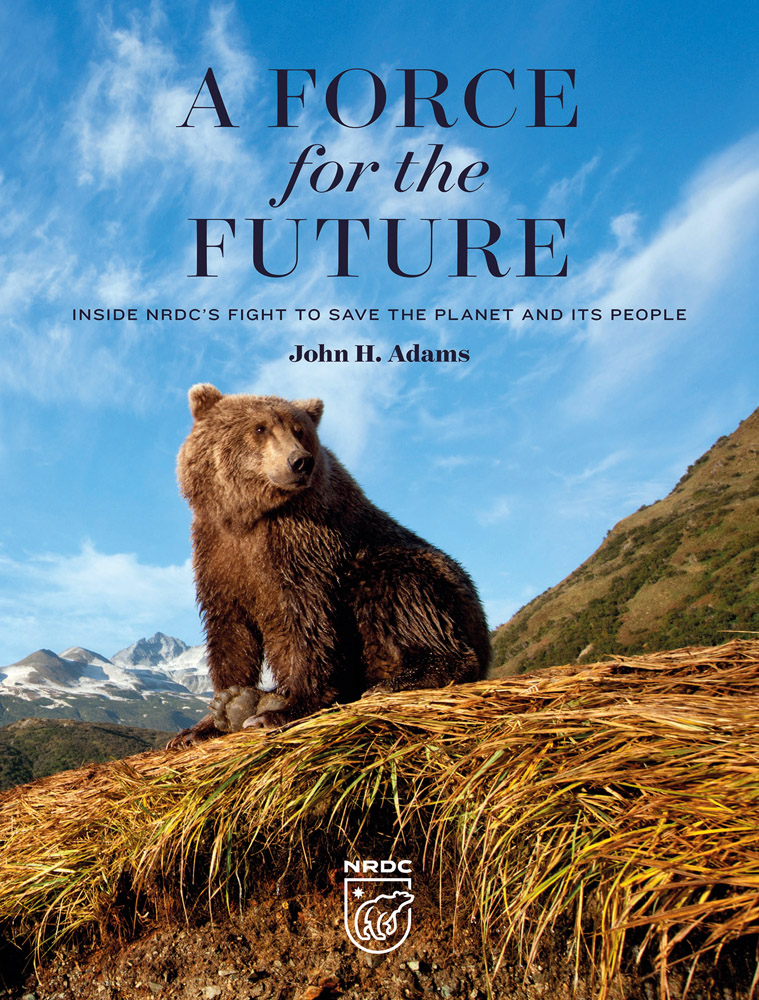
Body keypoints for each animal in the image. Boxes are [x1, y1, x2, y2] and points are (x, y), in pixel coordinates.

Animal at [168, 386, 490, 748]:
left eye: (299, 430)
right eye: (260, 428)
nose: (299, 462)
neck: (249, 517)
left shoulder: (304, 544)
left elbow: (309, 622)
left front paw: (286, 709)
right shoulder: (218, 554)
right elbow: (230, 633)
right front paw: (209, 718)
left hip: (421, 577)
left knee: (399, 590)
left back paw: (398, 680)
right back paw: (246, 703)